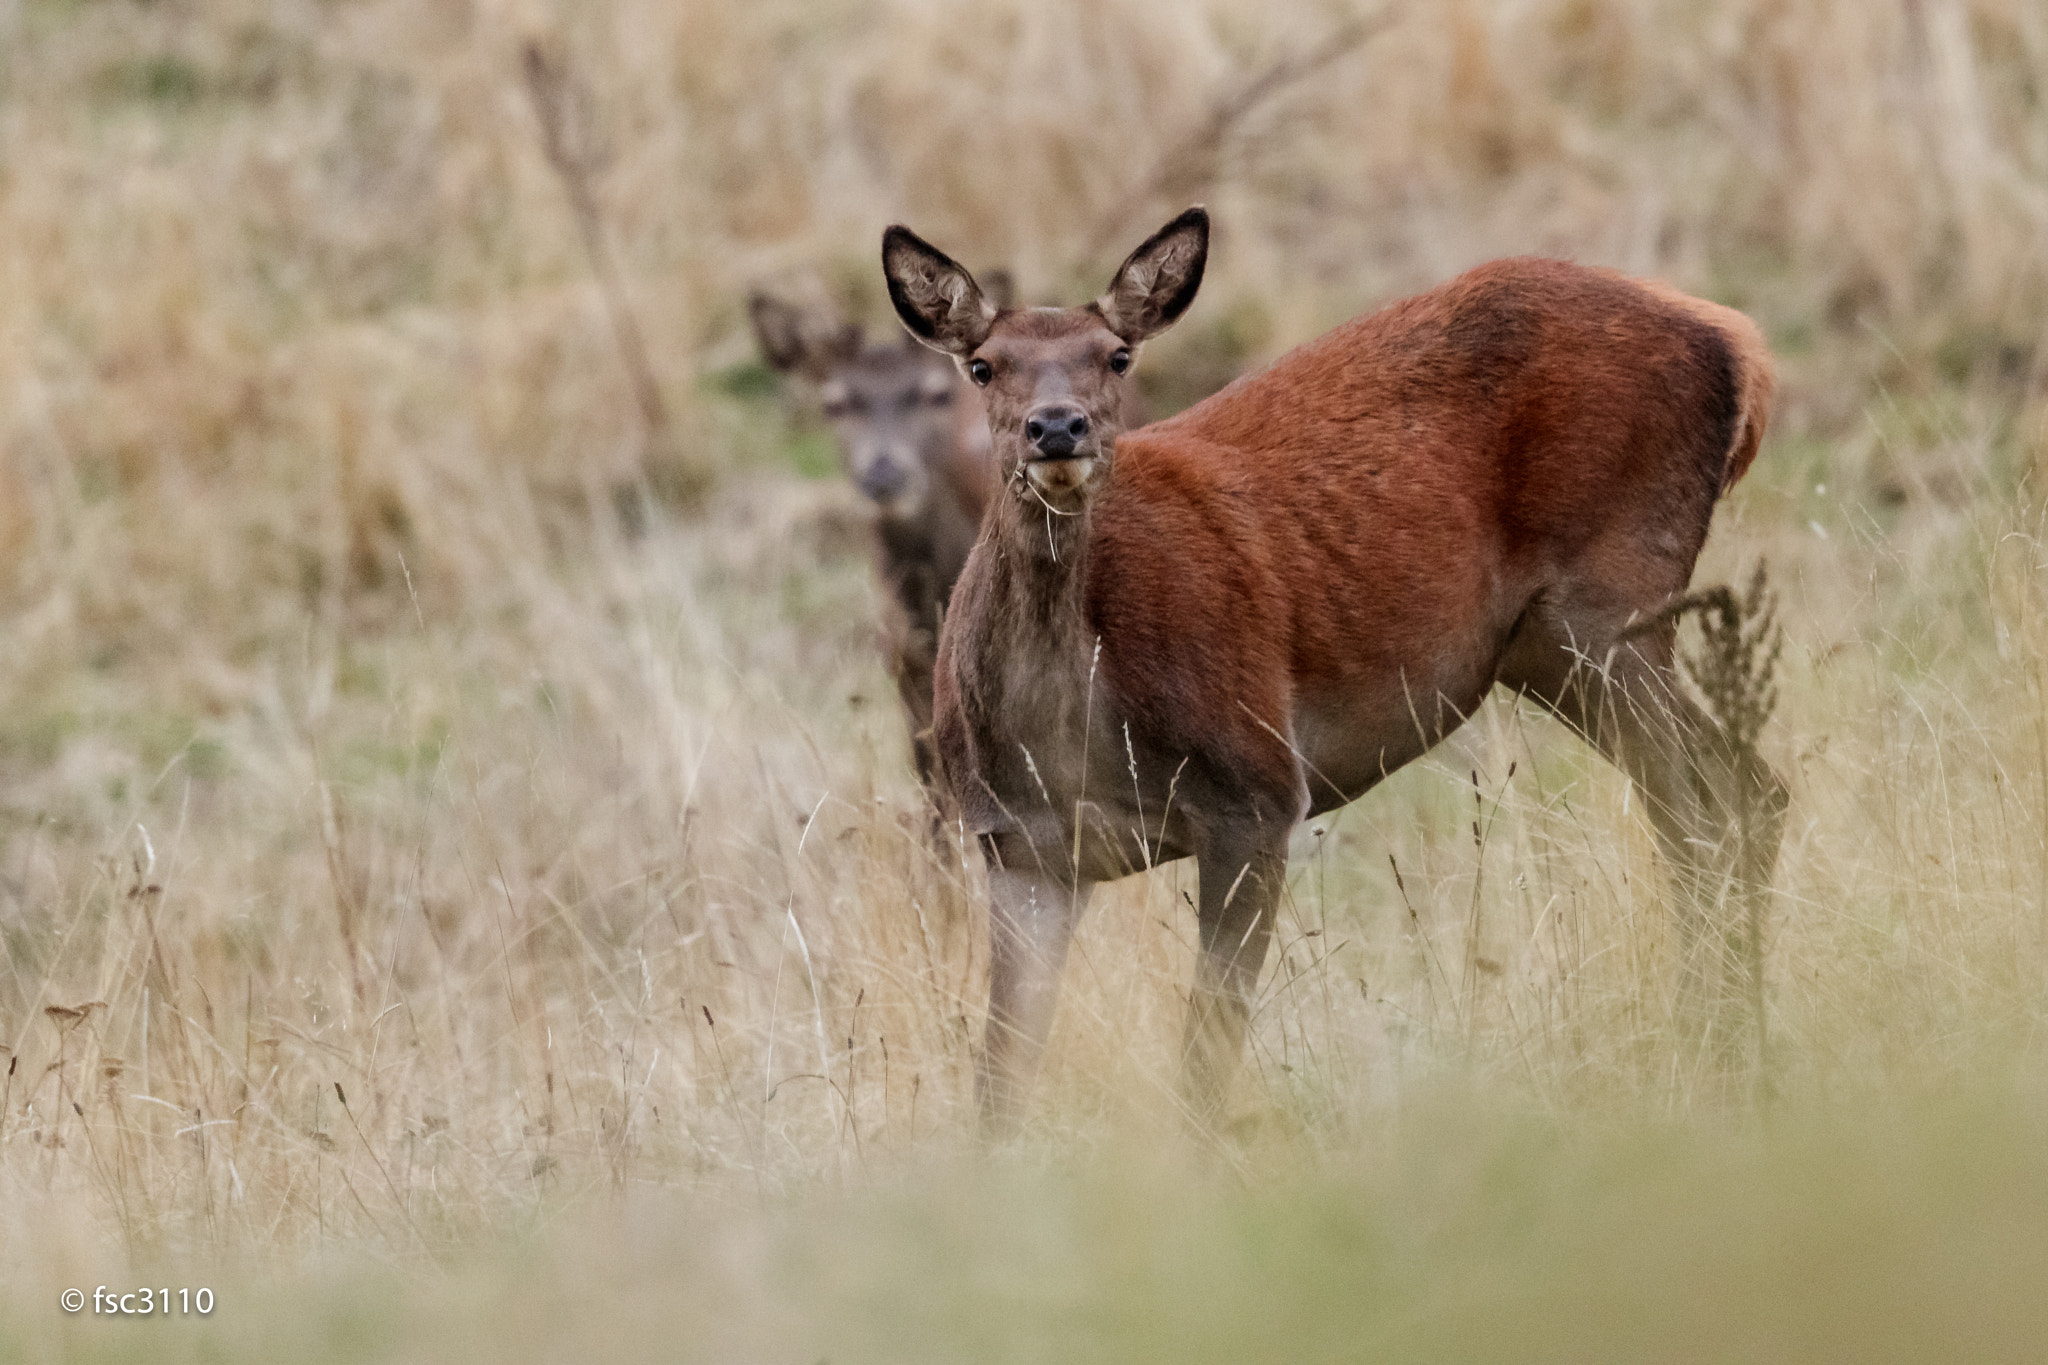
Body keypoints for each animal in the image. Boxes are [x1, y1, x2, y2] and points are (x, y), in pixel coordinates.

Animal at [884, 208, 1794, 1137]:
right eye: (984, 364)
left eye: (1118, 355)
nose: (1057, 428)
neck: (1072, 735)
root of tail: (1740, 345)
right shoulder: (1022, 848)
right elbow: (999, 1082)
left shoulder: (1254, 790)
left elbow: (1206, 1051)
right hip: (1551, 648)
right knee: (1726, 796)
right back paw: (1728, 1047)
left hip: (1611, 598)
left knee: (1721, 802)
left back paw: (1726, 1056)